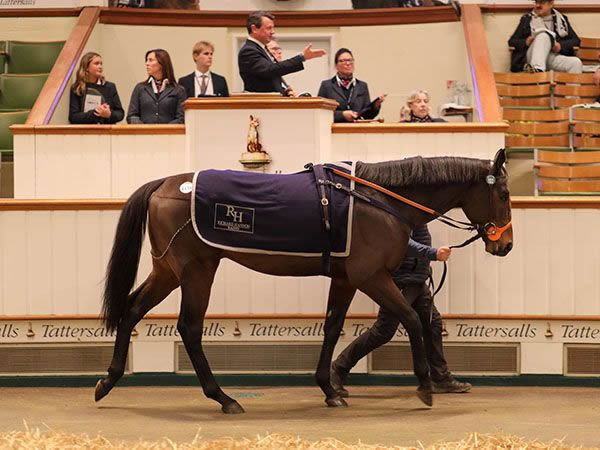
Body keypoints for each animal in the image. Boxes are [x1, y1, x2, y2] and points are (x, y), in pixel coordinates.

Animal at [94, 149, 510, 414]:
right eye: (504, 193)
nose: (504, 244)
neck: (376, 200)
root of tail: (165, 184)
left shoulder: (345, 278)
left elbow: (332, 328)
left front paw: (330, 388)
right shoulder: (371, 276)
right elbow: (410, 319)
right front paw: (424, 387)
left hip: (167, 271)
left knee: (132, 310)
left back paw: (108, 381)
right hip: (197, 270)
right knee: (190, 328)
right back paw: (223, 398)